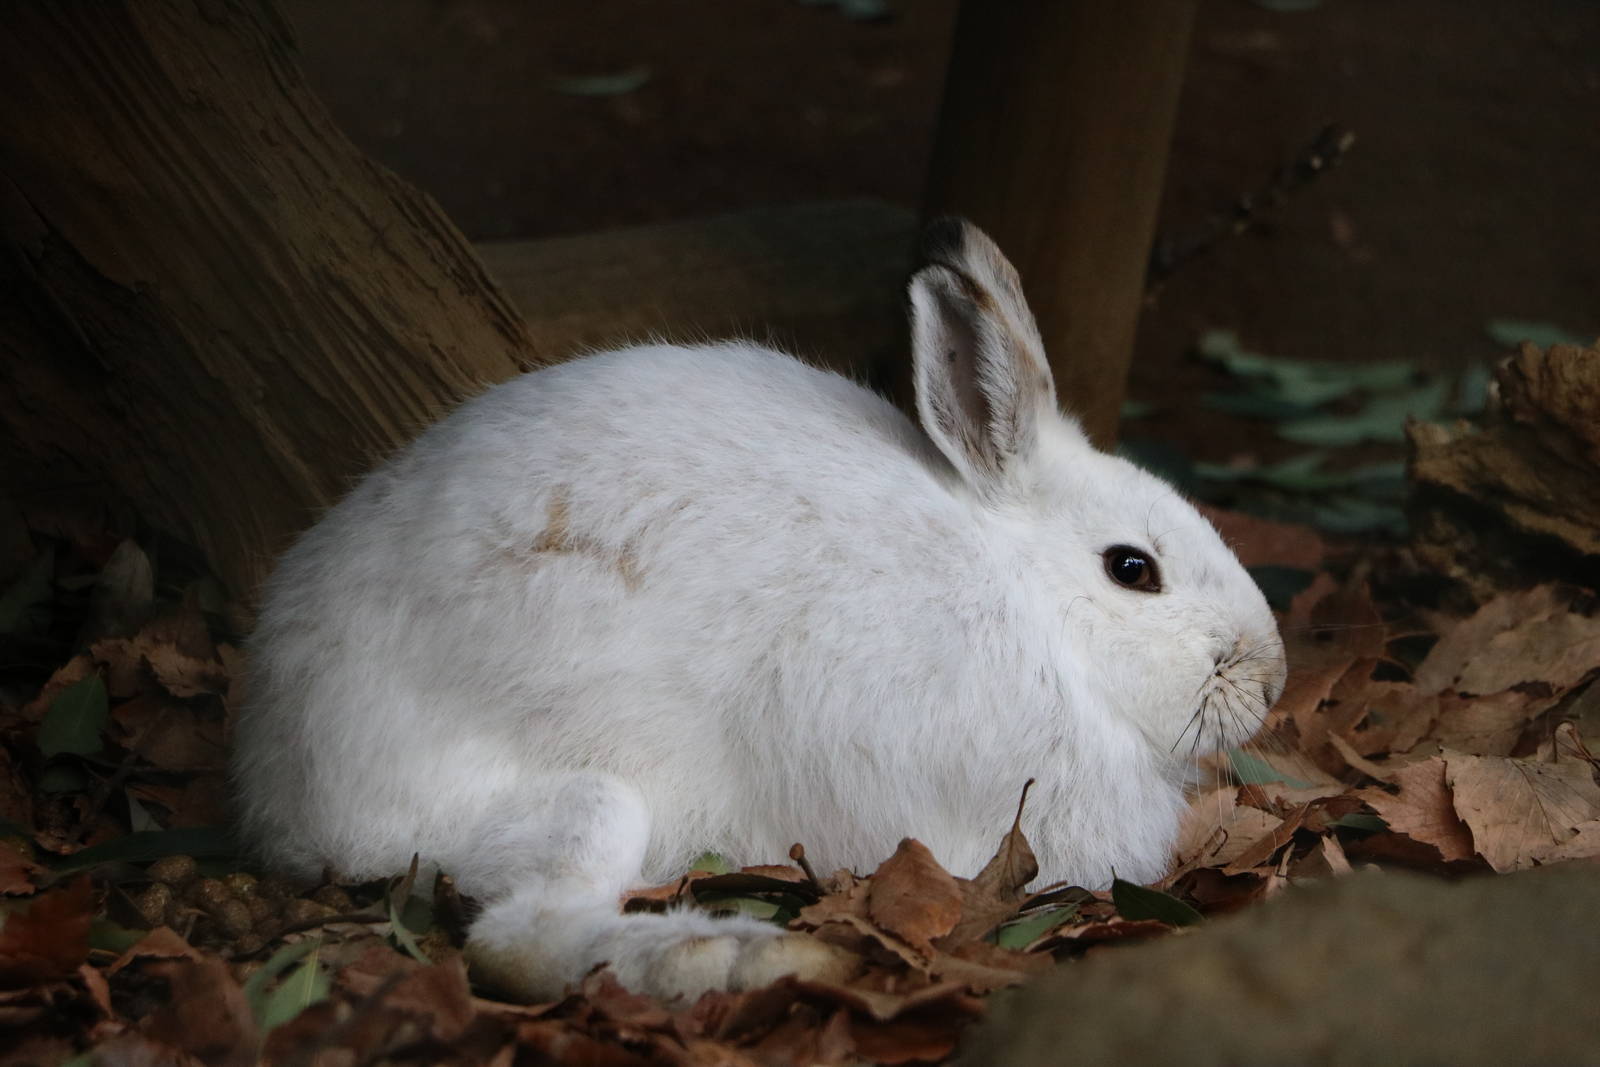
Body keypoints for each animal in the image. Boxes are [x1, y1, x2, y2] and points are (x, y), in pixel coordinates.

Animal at [233, 217, 1287, 1002]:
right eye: (1132, 569)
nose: (1271, 679)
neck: (1025, 596)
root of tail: (280, 785)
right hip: (564, 795)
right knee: (518, 937)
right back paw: (746, 954)